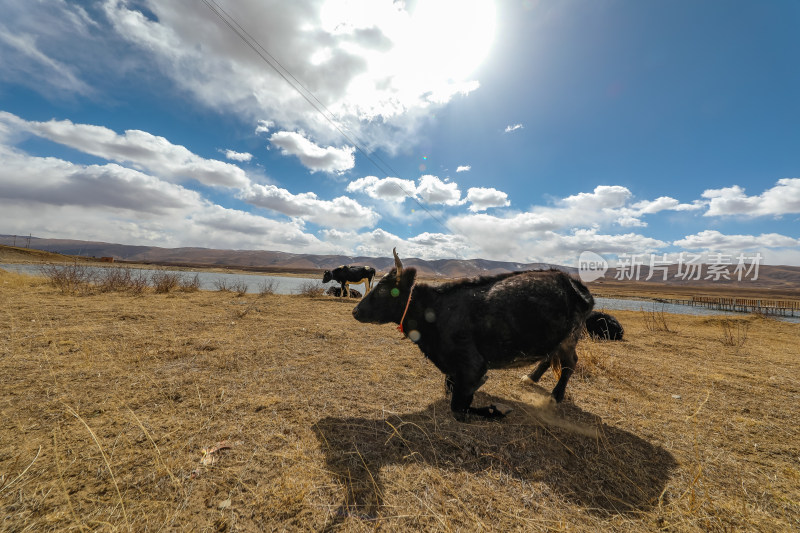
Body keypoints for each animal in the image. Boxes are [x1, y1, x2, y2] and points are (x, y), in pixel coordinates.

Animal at [352, 249, 592, 420]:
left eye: (384, 289)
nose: (355, 311)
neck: (435, 310)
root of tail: (574, 283)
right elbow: (450, 388)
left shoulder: (473, 366)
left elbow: (458, 407)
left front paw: (497, 410)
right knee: (550, 357)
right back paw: (530, 378)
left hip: (569, 338)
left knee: (570, 363)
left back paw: (555, 397)